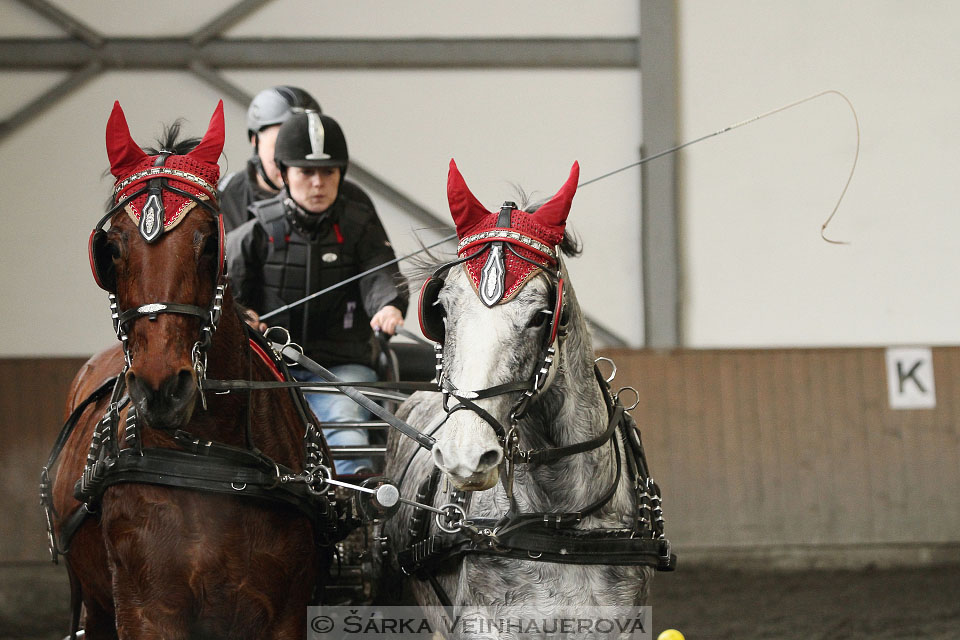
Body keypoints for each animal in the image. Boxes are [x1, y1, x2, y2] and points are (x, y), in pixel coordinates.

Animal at [47, 102, 334, 636]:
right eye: (111, 249)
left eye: (208, 244)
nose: (162, 388)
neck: (209, 456)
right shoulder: (144, 609)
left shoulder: (285, 612)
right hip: (96, 604)